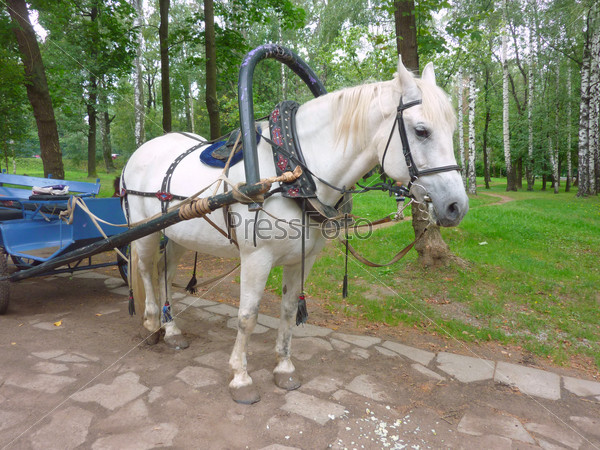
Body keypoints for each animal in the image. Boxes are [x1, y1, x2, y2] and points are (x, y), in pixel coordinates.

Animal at [122, 57, 468, 404]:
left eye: (452, 130)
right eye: (421, 131)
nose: (457, 206)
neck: (292, 172)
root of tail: (139, 152)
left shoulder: (304, 258)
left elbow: (288, 311)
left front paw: (284, 367)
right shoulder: (256, 258)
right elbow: (247, 316)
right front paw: (241, 377)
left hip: (179, 234)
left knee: (164, 273)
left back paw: (171, 329)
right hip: (145, 231)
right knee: (146, 270)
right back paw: (151, 323)